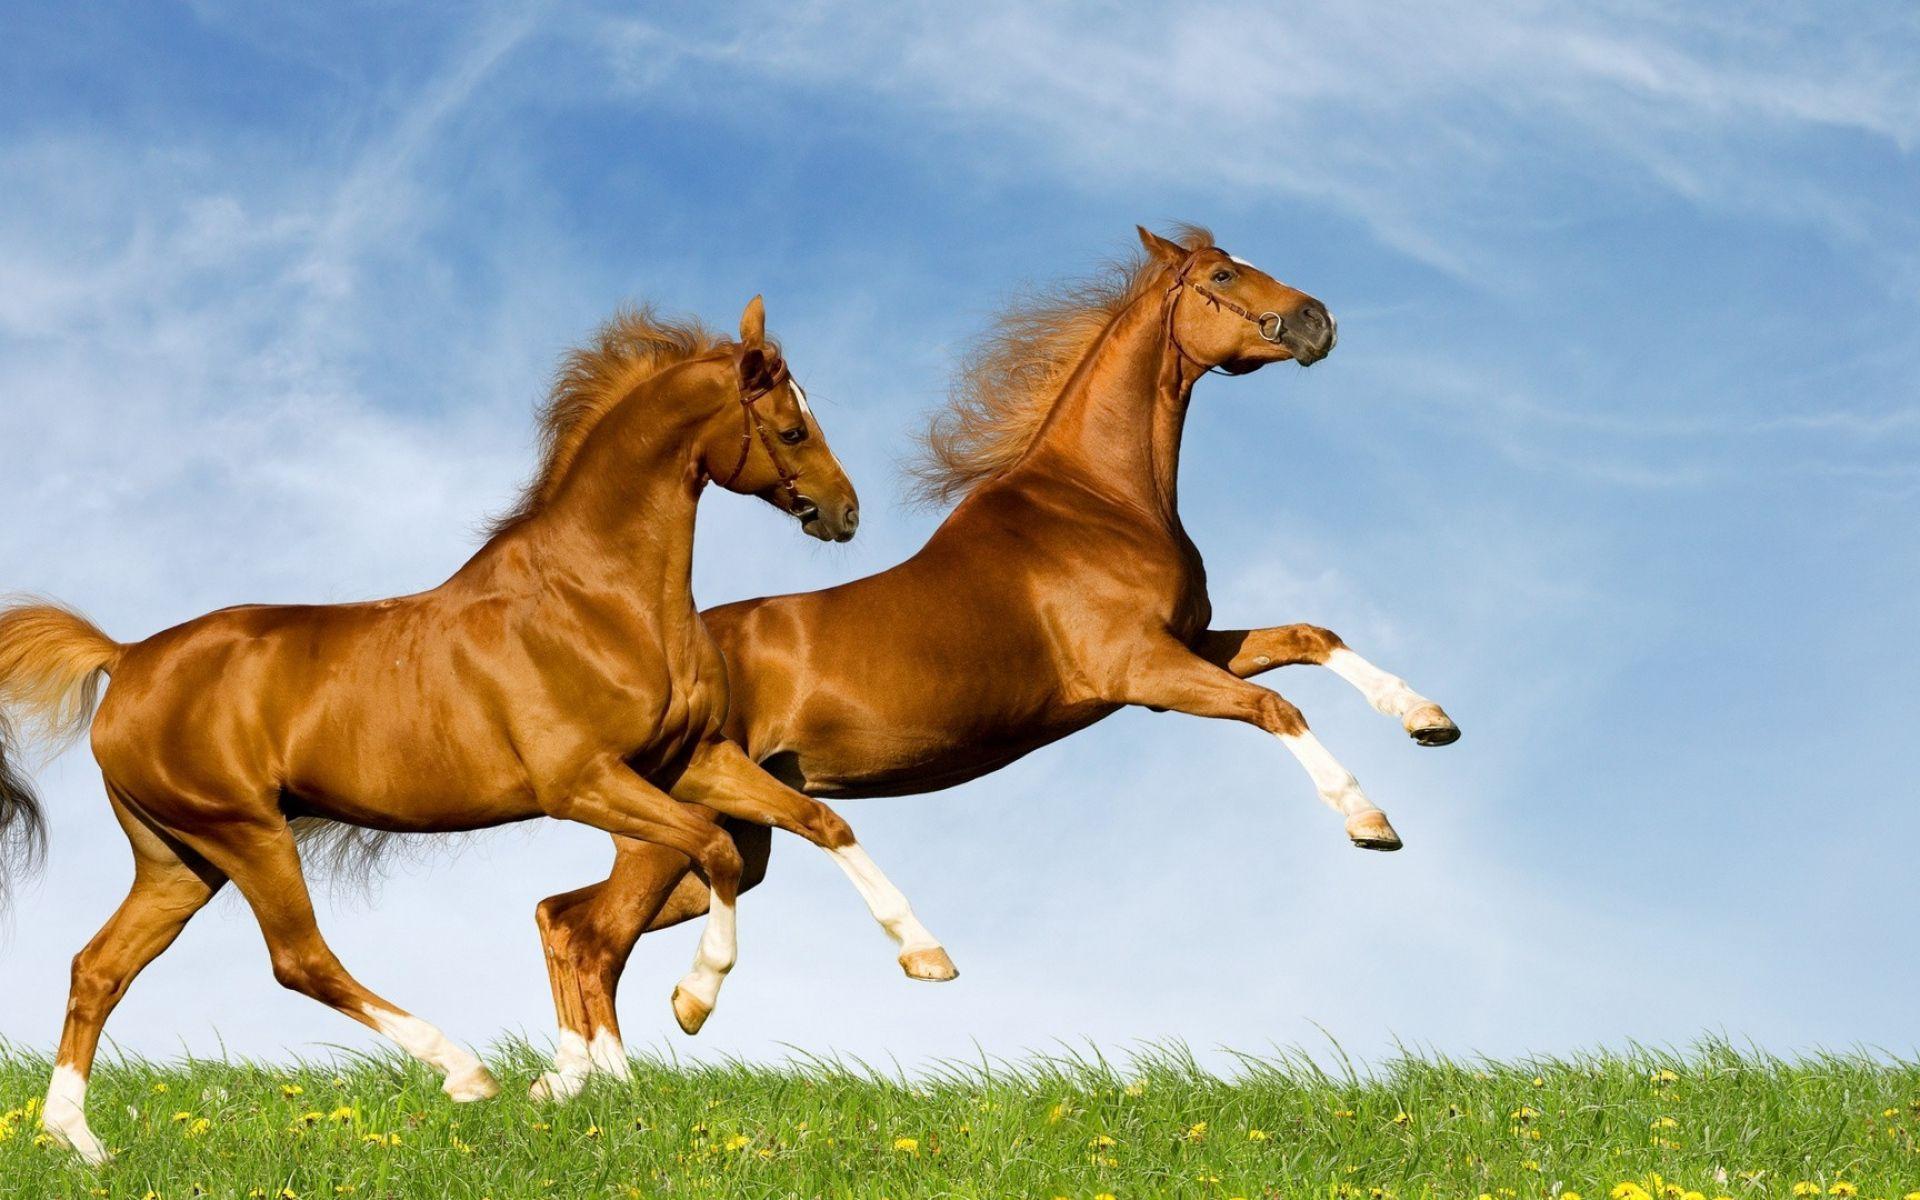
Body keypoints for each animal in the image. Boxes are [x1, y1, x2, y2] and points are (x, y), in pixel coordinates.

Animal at [0, 298, 957, 1164]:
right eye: (792, 429)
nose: (845, 513)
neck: (599, 598)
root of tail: (127, 658)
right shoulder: (583, 782)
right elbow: (712, 850)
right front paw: (691, 1002)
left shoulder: (689, 761)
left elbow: (821, 820)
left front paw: (927, 957)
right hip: (245, 833)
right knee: (299, 959)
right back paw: (465, 1071)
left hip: (178, 858)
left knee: (99, 968)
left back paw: (78, 1141)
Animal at [527, 226, 1462, 1092]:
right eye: (1224, 275)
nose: (1317, 320)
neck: (1098, 501)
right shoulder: (1145, 673)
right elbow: (1278, 708)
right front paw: (1370, 821)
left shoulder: (1194, 644)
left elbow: (1311, 638)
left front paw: (1428, 718)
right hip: (675, 833)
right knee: (590, 936)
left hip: (728, 839)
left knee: (564, 917)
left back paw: (568, 1080)